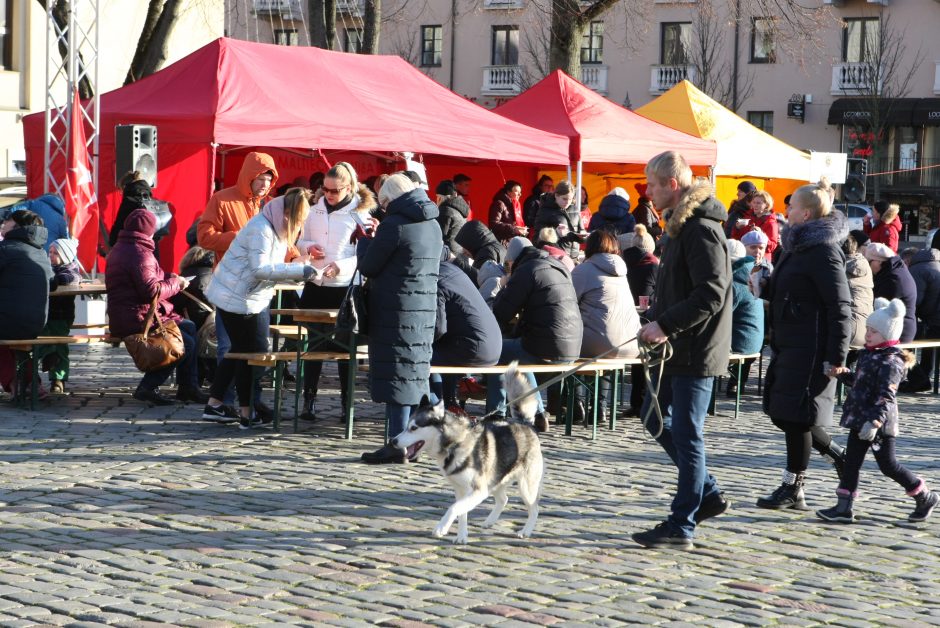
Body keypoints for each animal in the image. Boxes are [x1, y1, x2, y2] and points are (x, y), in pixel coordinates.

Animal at [392, 364, 548, 544]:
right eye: (407, 427)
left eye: (414, 428)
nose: (393, 441)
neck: (455, 444)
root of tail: (525, 423)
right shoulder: (462, 491)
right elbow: (462, 514)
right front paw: (461, 536)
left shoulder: (478, 491)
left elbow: (454, 508)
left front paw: (441, 528)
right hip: (495, 480)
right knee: (504, 499)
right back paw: (489, 521)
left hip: (525, 487)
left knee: (534, 508)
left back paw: (526, 531)